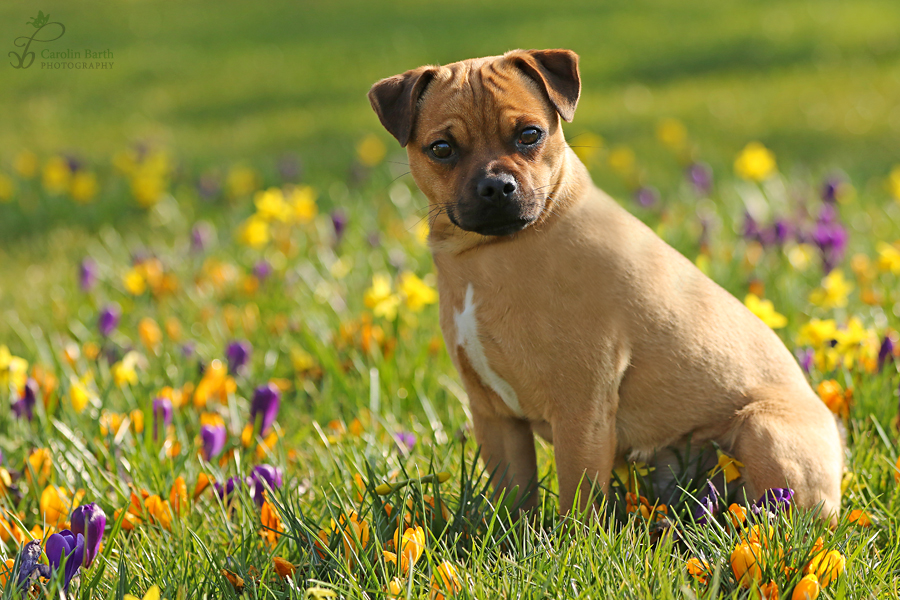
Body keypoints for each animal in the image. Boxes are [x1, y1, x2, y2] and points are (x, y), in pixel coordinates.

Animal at [368, 50, 844, 520]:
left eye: (529, 135)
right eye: (442, 149)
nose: (496, 186)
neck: (491, 255)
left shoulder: (580, 408)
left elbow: (577, 498)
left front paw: (567, 540)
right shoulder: (495, 415)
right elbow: (513, 497)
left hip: (763, 431)